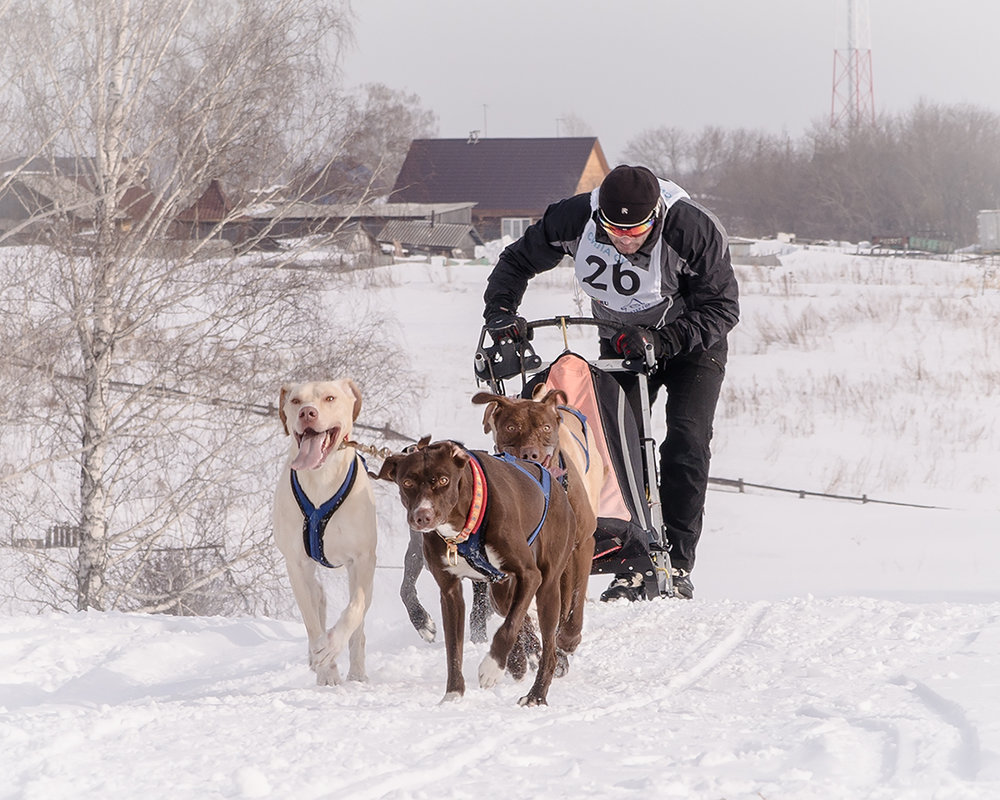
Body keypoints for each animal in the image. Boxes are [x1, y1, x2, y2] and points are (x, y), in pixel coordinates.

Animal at [272, 378, 376, 684]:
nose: (307, 412)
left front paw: (331, 646)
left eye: (330, 398)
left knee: (358, 624)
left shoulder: (363, 559)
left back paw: (357, 671)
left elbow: (354, 610)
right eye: (295, 400)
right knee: (317, 598)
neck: (321, 478)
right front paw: (327, 672)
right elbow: (311, 619)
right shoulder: (296, 564)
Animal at [376, 438, 580, 708]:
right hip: (501, 590)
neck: (461, 528)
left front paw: (492, 668)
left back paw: (536, 694)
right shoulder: (450, 592)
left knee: (547, 645)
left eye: (444, 480)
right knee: (515, 614)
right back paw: (518, 662)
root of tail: (555, 485)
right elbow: (454, 648)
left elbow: (508, 628)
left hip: (547, 586)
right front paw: (453, 694)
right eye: (407, 482)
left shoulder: (529, 575)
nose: (422, 516)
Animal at [472, 390, 596, 664]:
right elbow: (510, 607)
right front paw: (526, 649)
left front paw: (568, 639)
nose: (530, 454)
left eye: (545, 427)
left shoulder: (583, 543)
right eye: (511, 427)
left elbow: (576, 598)